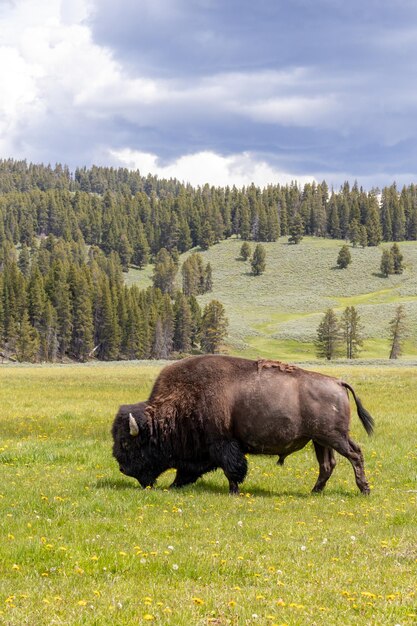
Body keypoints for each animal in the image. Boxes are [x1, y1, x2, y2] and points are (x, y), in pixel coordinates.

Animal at [111, 356, 374, 492]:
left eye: (126, 443)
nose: (122, 468)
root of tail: (338, 382)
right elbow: (188, 471)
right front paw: (176, 485)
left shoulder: (222, 443)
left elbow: (232, 467)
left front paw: (233, 490)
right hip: (321, 440)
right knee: (328, 464)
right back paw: (314, 491)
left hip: (334, 437)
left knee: (355, 454)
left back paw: (364, 489)